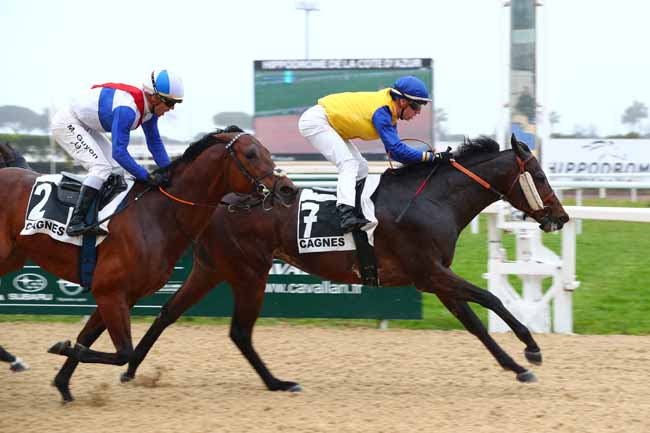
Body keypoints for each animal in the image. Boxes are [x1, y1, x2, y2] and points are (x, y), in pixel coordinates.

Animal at [0, 126, 298, 400]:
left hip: (12, 259)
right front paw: (62, 349)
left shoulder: (122, 295)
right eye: (250, 154)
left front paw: (63, 383)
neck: (157, 215)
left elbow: (91, 339)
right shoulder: (109, 292)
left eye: (268, 152)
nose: (288, 189)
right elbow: (123, 352)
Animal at [121, 133, 568, 390]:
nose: (560, 217)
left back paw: (130, 368)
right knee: (239, 332)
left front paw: (515, 366)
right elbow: (491, 300)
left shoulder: (433, 277)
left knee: (167, 313)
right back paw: (277, 383)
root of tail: (219, 201)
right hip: (249, 272)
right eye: (540, 176)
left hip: (212, 268)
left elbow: (474, 323)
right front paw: (531, 349)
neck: (433, 198)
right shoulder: (429, 271)